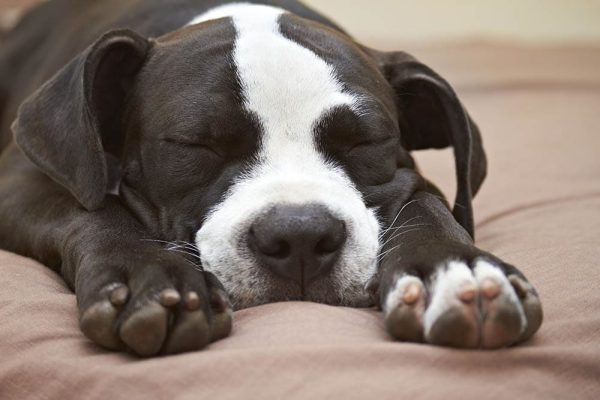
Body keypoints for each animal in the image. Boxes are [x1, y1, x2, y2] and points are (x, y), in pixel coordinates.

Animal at [0, 0, 540, 356]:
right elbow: (93, 211)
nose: (300, 236)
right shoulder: (20, 177)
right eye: (198, 144)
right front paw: (148, 276)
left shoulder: (406, 175)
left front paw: (455, 268)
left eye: (364, 142)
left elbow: (425, 205)